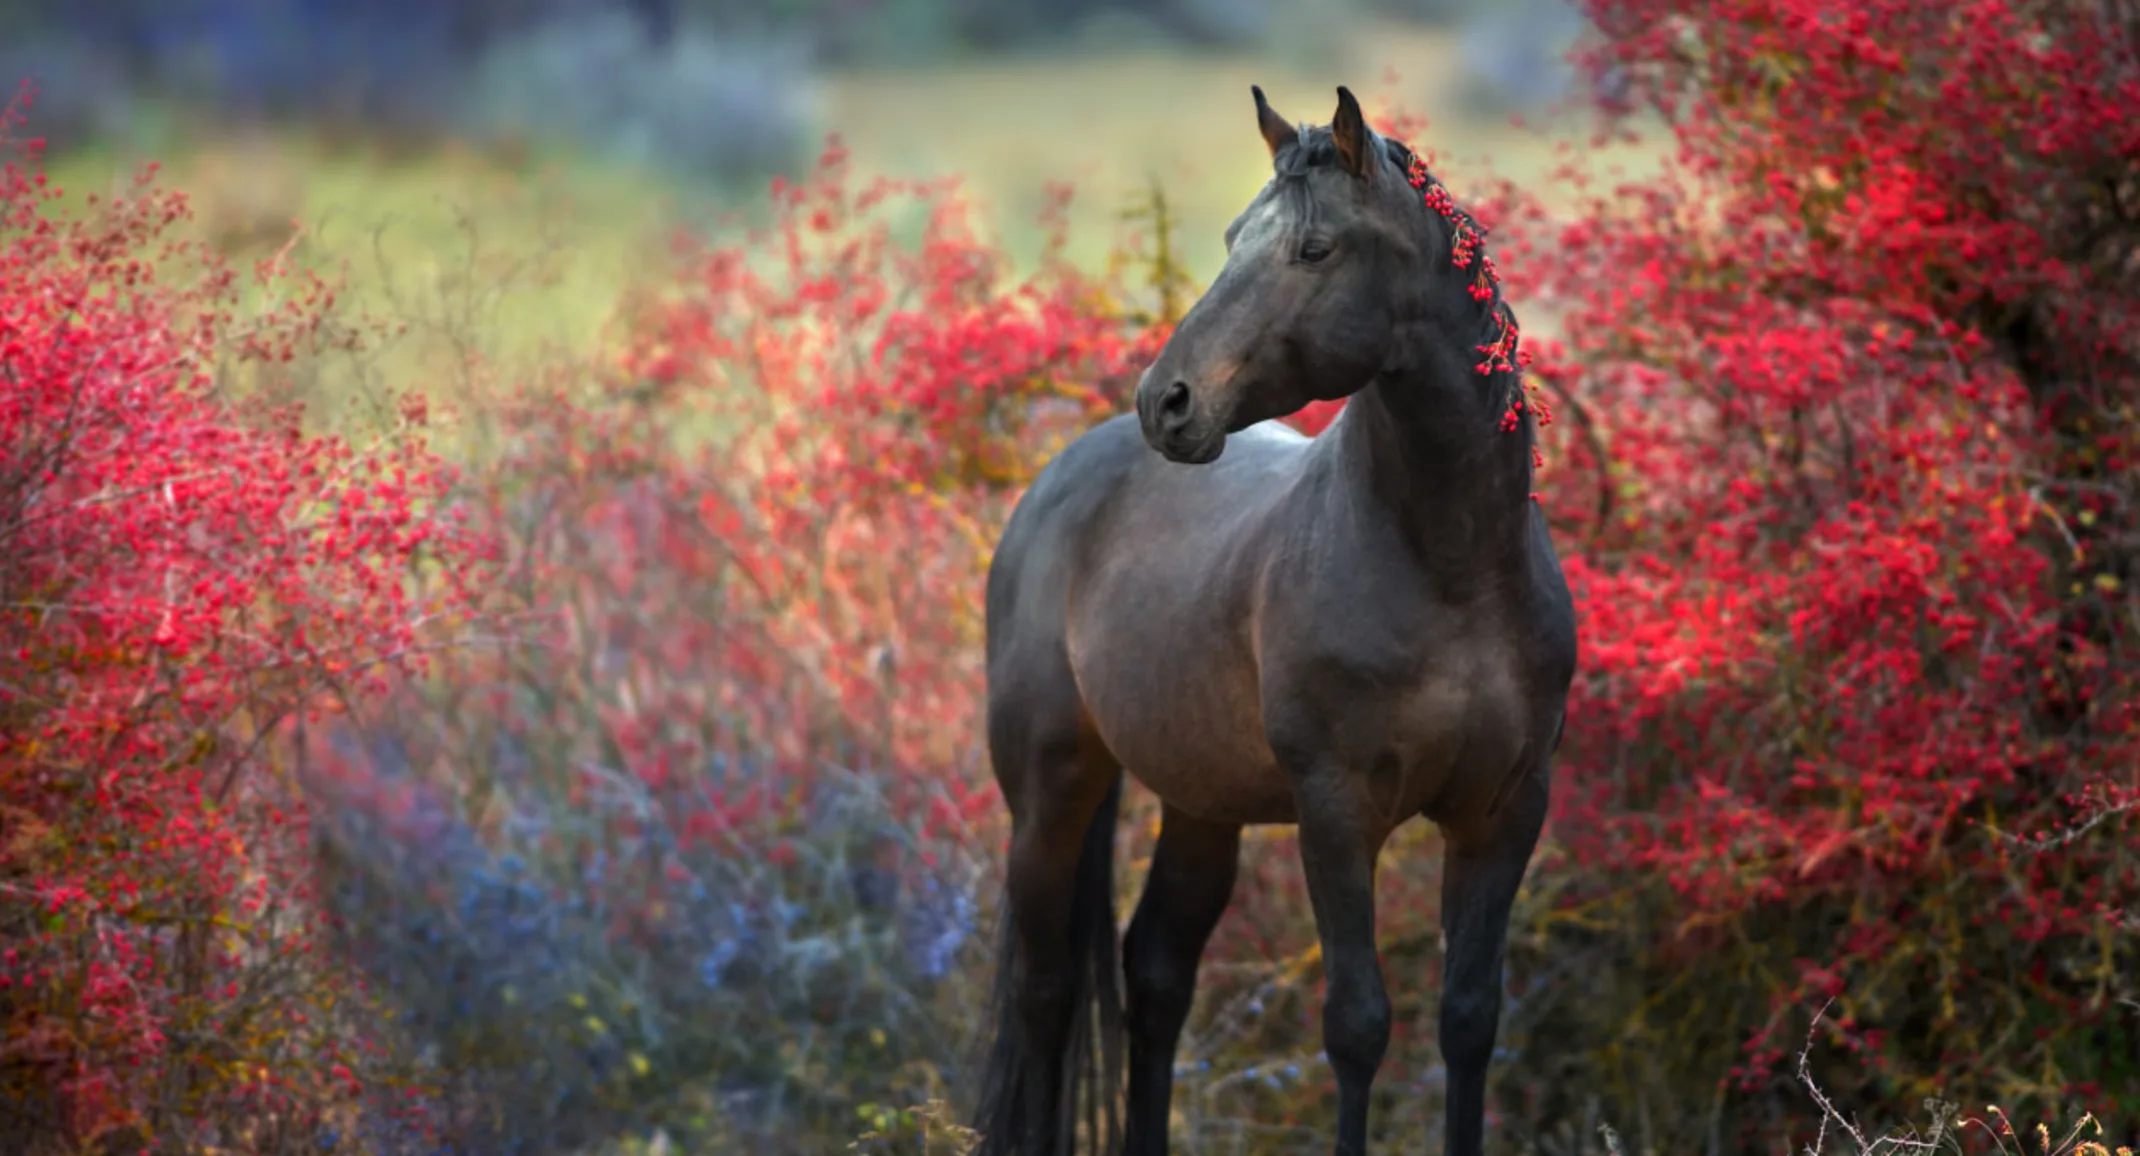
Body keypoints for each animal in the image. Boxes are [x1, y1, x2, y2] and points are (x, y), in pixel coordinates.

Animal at [971, 83, 1575, 1156]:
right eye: (1229, 239)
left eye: (1314, 248)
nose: (1166, 403)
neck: (1454, 568)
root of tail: (1062, 477)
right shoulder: (1336, 811)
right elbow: (1359, 1024)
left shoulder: (1505, 810)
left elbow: (1469, 1020)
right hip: (1051, 794)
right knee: (1044, 992)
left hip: (1200, 801)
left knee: (1155, 975)